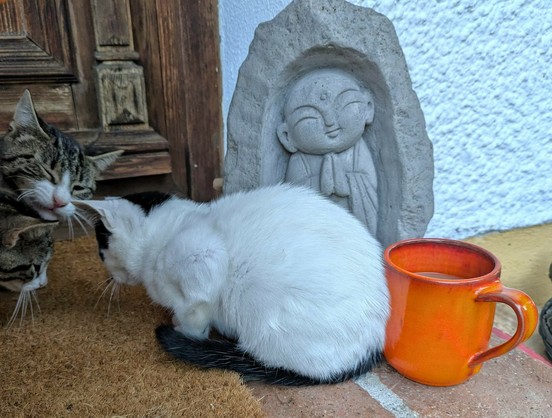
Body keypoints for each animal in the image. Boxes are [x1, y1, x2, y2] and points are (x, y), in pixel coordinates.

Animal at [76, 185, 388, 386]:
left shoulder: (204, 259)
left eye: (100, 250)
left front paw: (186, 332)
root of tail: (374, 342)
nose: (107, 275)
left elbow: (194, 315)